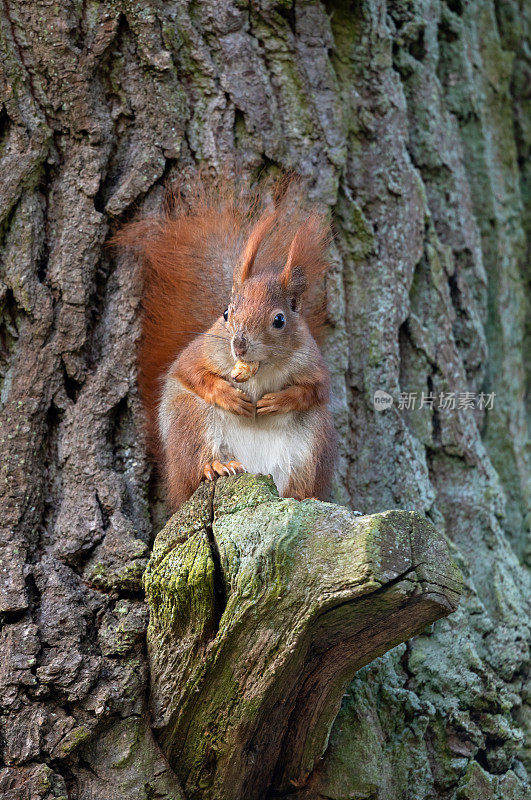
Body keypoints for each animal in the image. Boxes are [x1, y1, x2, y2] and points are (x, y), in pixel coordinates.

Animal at [116, 178, 336, 510]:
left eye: (279, 320)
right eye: (226, 313)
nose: (239, 346)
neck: (260, 369)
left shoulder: (312, 364)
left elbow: (313, 391)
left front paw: (278, 400)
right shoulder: (201, 352)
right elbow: (190, 373)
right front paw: (227, 395)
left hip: (310, 441)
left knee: (297, 479)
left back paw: (301, 495)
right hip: (191, 420)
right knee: (196, 464)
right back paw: (217, 466)